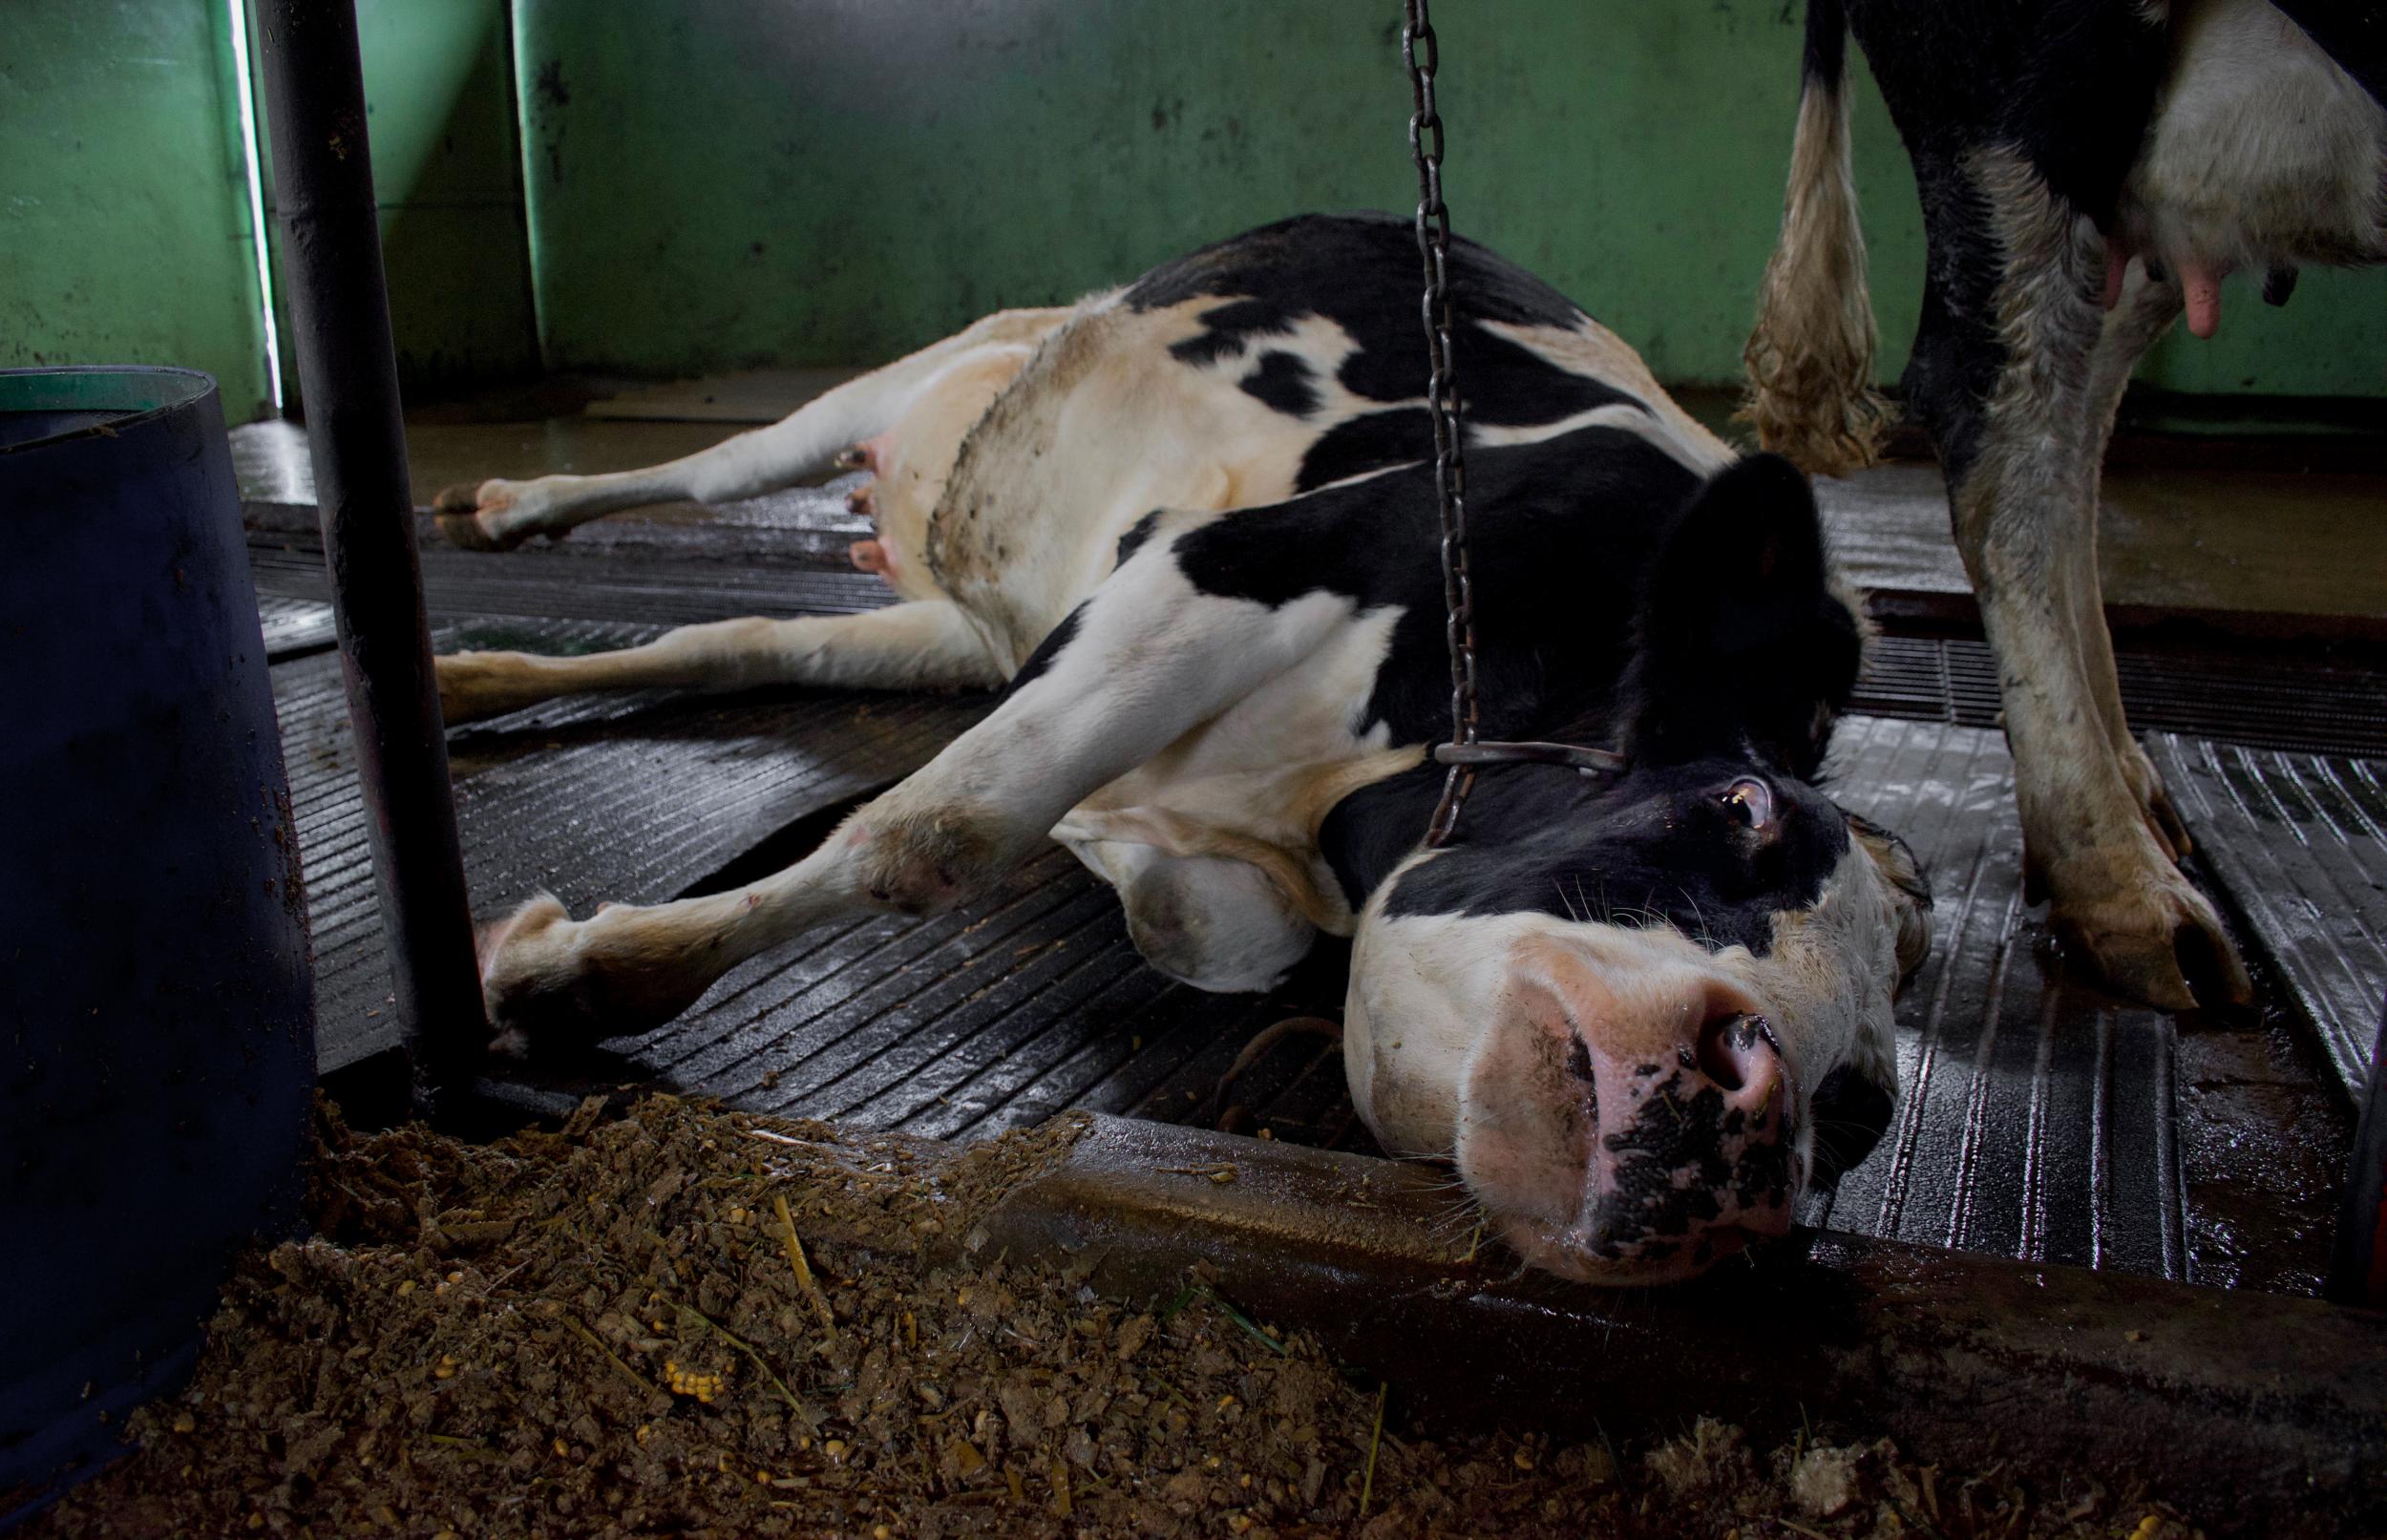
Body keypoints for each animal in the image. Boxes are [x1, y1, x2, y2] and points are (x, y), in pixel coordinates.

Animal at [430, 210, 1929, 1279]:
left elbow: (1211, 919)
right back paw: (513, 507)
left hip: (951, 621)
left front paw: (1132, 853)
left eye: (1860, 1110)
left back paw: (468, 677)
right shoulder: (1234, 564)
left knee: (734, 638)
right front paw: (585, 975)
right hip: (921, 373)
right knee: (715, 466)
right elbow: (946, 826)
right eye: (1738, 808)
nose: (1760, 1113)